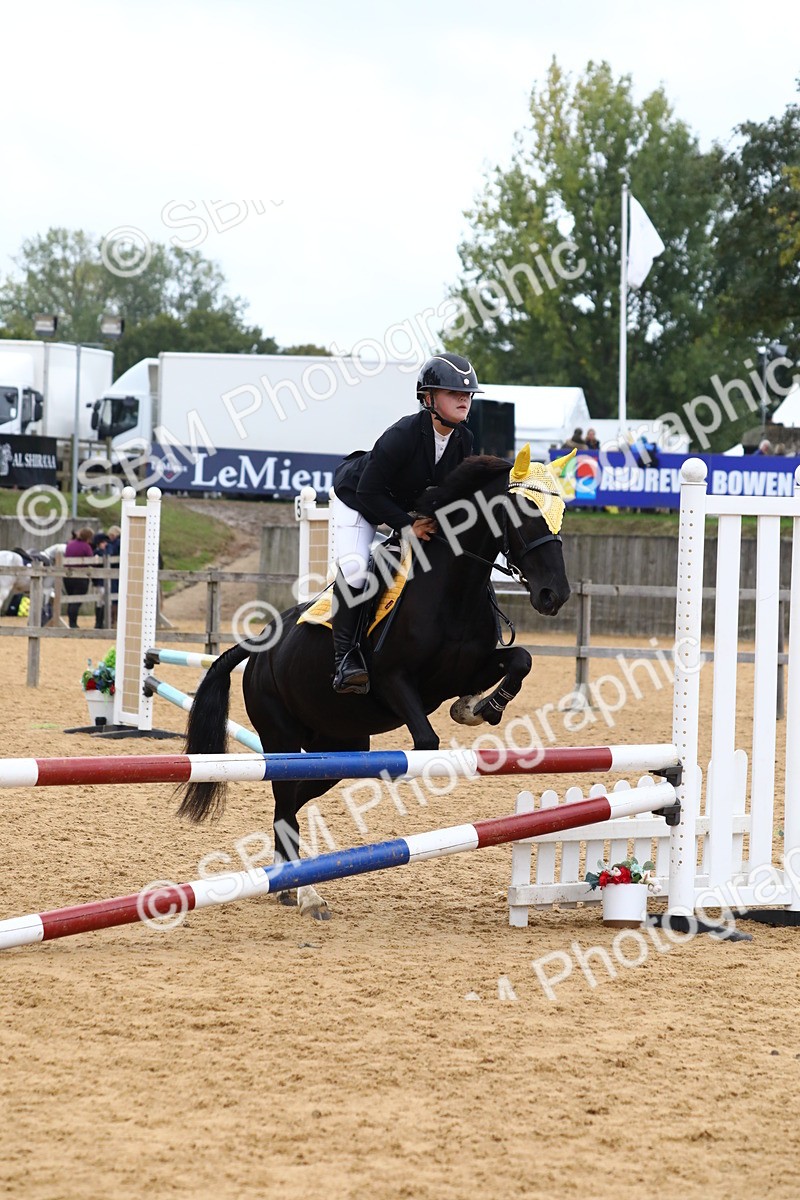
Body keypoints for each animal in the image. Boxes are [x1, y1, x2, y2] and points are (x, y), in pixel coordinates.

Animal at [178, 447, 573, 918]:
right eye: (525, 512)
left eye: (561, 515)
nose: (555, 595)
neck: (453, 585)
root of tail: (258, 646)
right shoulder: (393, 682)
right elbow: (426, 742)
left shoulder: (468, 668)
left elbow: (520, 660)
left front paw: (478, 708)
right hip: (281, 738)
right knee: (285, 802)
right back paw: (305, 893)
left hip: (337, 745)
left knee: (291, 799)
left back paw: (288, 884)